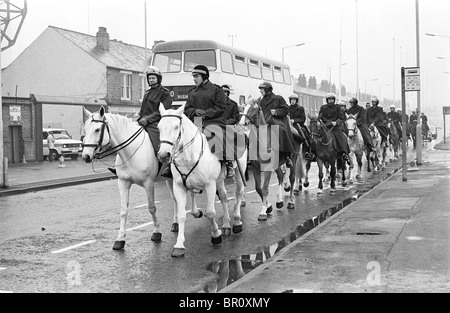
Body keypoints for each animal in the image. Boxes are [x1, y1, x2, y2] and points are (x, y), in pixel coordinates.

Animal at [80, 106, 173, 250]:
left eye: (97, 129)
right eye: (86, 129)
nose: (86, 156)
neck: (130, 151)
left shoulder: (148, 183)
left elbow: (151, 207)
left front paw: (156, 232)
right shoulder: (123, 183)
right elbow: (123, 210)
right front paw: (120, 239)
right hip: (169, 179)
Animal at [157, 103, 250, 258]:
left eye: (176, 127)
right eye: (158, 127)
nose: (164, 155)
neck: (189, 155)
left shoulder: (210, 185)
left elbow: (210, 212)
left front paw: (216, 235)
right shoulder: (179, 186)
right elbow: (182, 215)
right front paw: (179, 245)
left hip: (239, 171)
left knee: (239, 193)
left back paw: (236, 221)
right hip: (219, 179)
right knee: (224, 197)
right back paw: (226, 225)